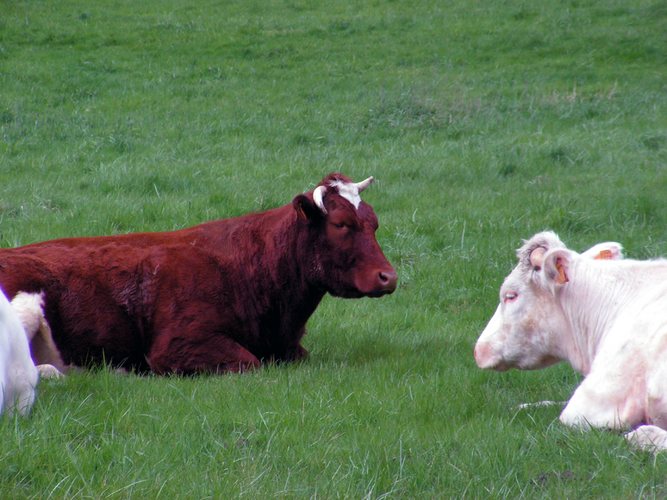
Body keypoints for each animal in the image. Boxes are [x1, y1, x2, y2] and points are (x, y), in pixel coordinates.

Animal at [0, 174, 396, 374]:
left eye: (374, 222)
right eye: (341, 224)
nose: (388, 277)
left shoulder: (290, 347)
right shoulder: (178, 345)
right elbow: (249, 362)